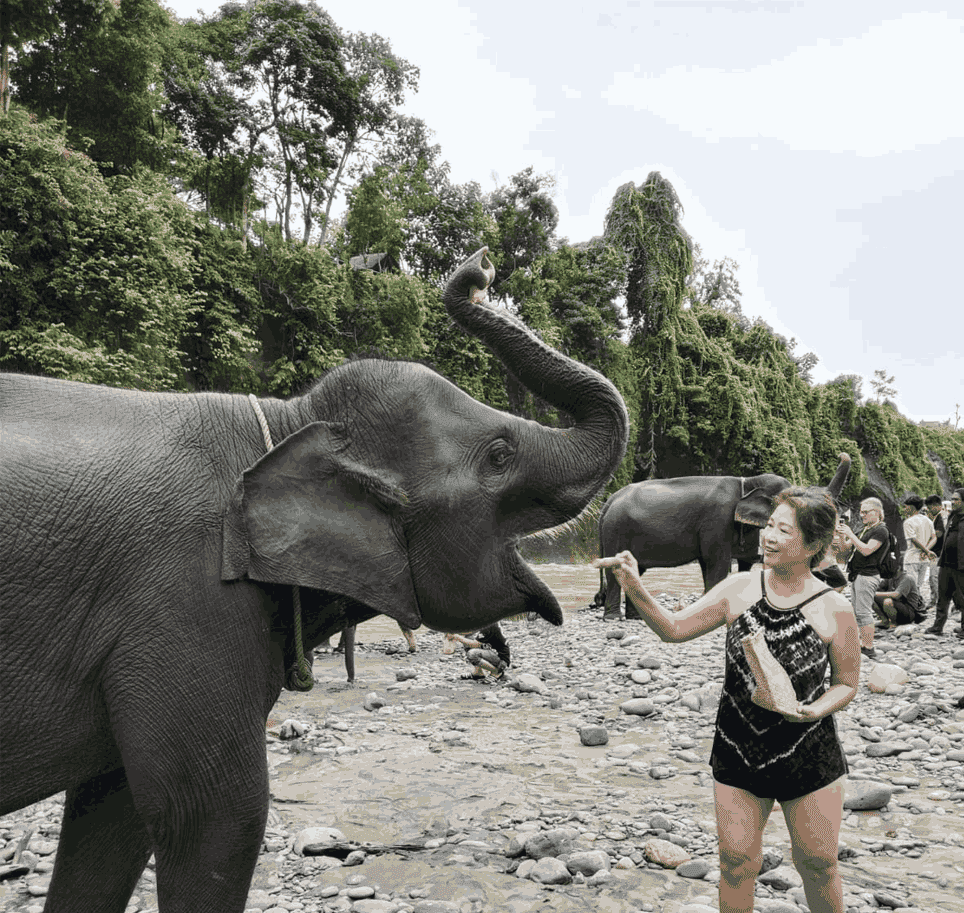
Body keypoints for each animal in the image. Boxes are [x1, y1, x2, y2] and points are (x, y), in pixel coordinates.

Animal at [0, 248, 628, 913]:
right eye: (500, 455)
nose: (478, 271)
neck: (288, 420)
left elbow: (111, 814)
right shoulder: (187, 604)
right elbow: (215, 817)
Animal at [596, 454, 852, 619]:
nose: (841, 453)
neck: (748, 481)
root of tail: (609, 501)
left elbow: (742, 564)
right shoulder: (718, 519)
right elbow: (715, 563)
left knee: (635, 570)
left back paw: (635, 618)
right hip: (616, 530)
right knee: (615, 570)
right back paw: (612, 618)